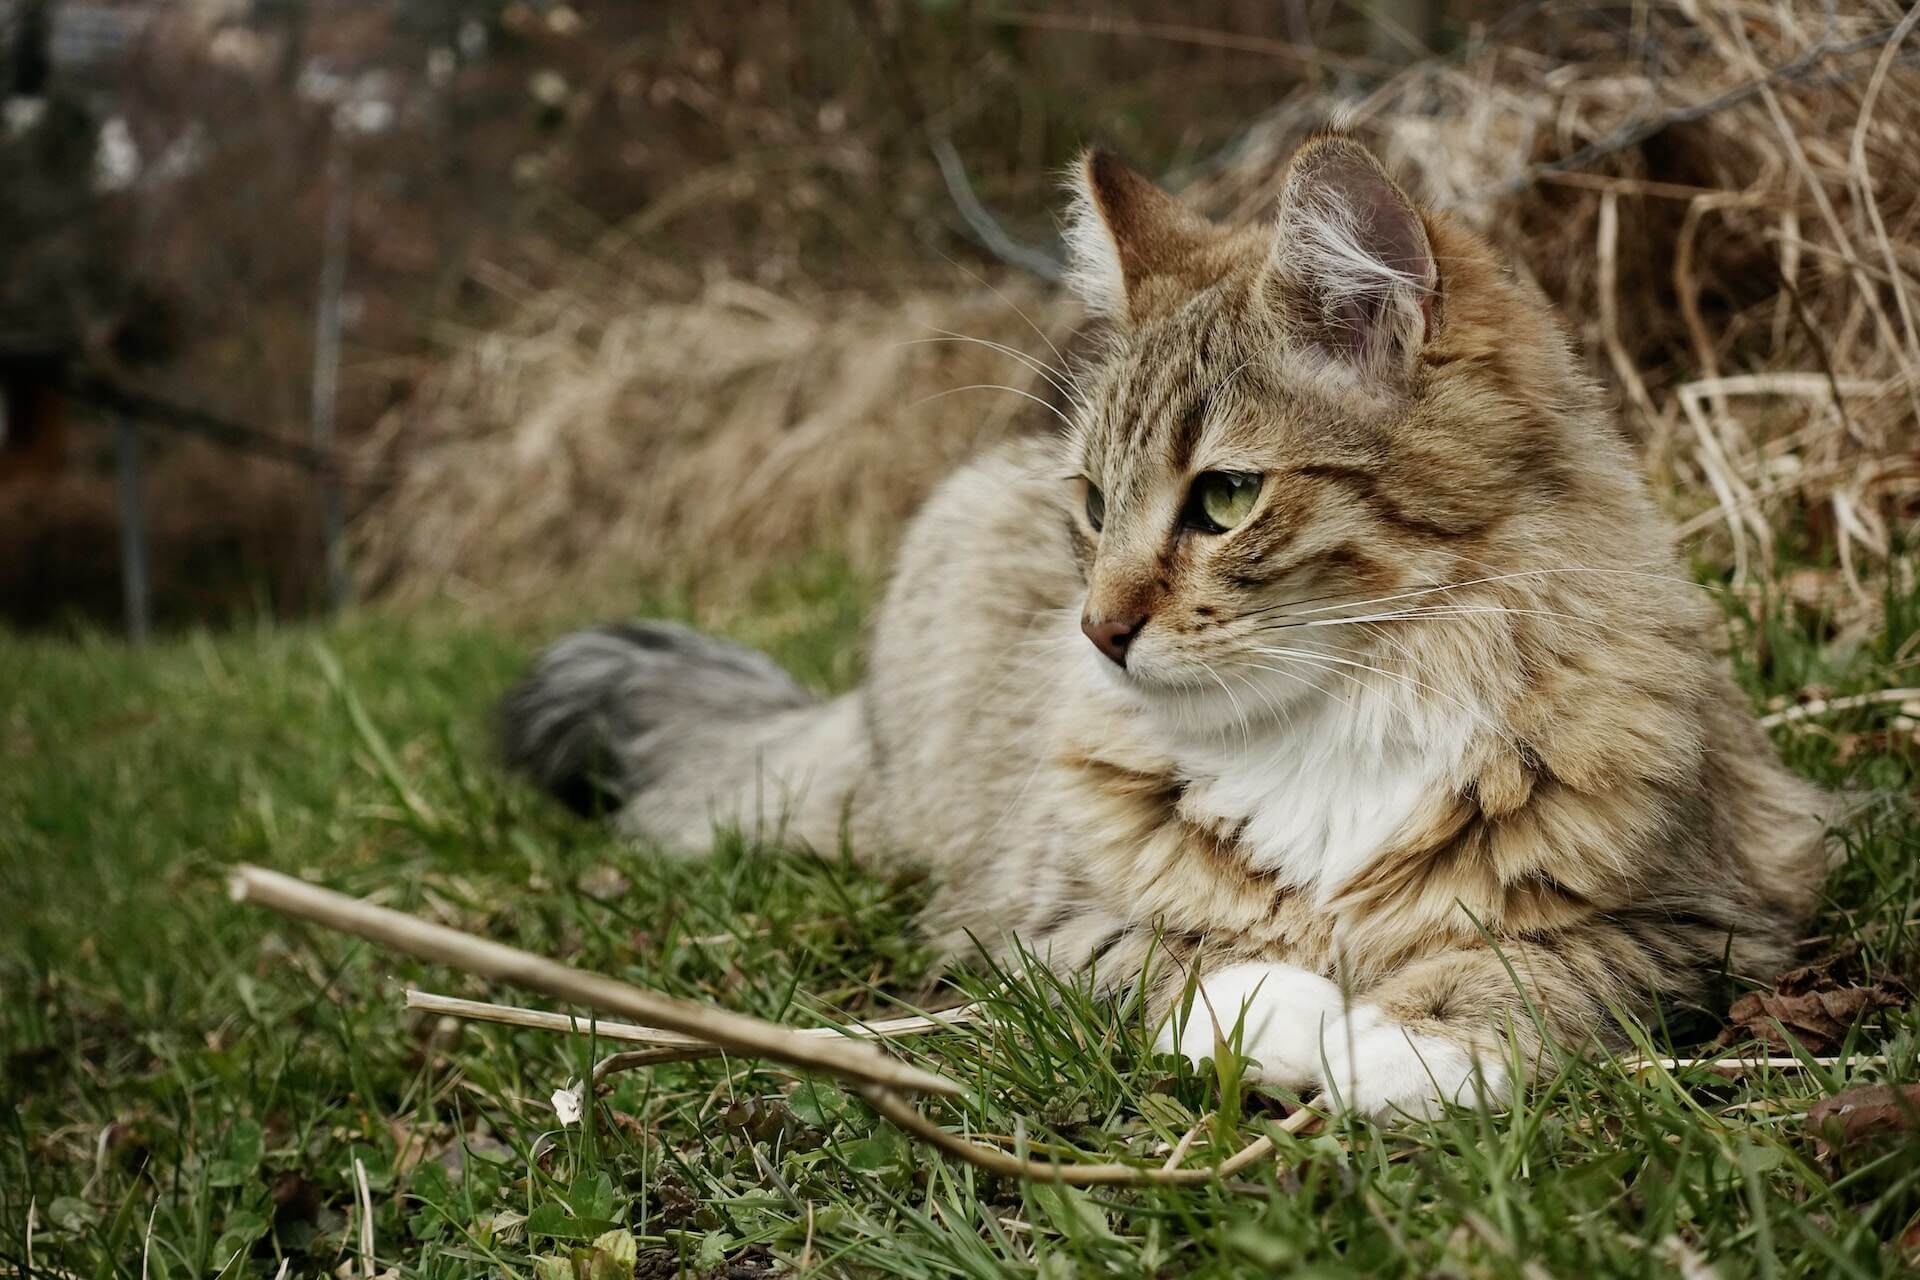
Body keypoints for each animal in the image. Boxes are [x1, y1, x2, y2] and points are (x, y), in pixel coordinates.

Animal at [503, 135, 1835, 1120]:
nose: (1096, 630)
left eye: (1226, 498)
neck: (1347, 698)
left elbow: (1533, 964)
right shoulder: (1030, 925)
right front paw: (1291, 1019)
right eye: (1095, 504)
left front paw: (1403, 1047)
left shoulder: (1711, 914)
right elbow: (1186, 956)